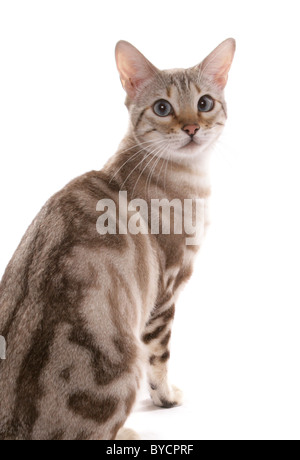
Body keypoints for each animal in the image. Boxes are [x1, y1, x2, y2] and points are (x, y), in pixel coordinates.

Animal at [0, 37, 234, 440]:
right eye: (162, 108)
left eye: (204, 103)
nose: (191, 127)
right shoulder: (164, 292)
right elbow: (160, 358)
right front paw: (167, 398)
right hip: (125, 361)